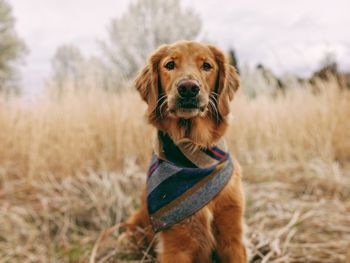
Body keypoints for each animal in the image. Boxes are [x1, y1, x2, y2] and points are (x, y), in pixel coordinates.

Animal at [125, 40, 246, 262]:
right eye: (170, 65)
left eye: (207, 66)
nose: (188, 88)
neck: (193, 151)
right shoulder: (175, 246)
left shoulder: (233, 237)